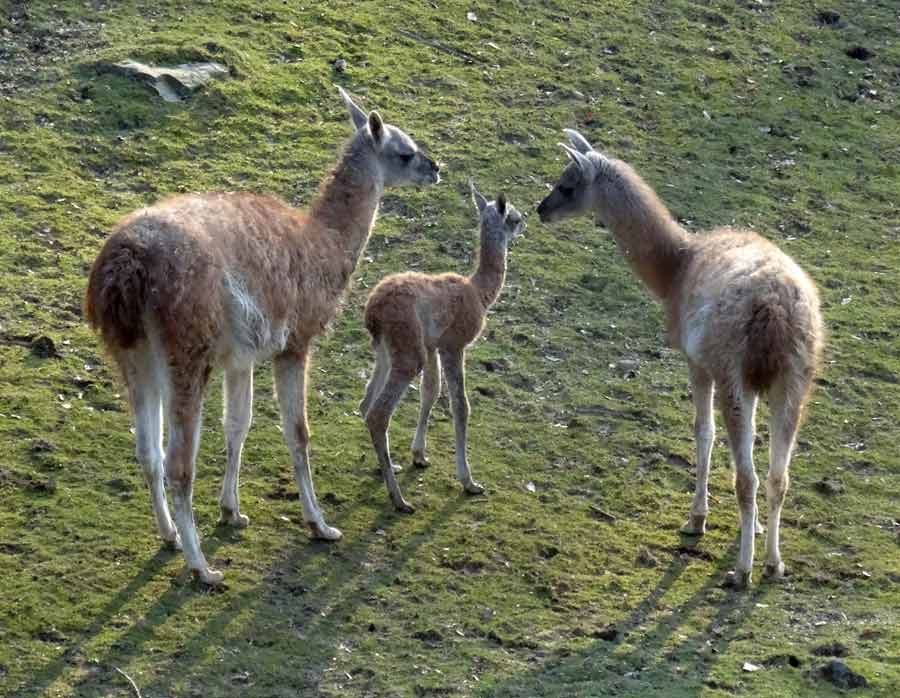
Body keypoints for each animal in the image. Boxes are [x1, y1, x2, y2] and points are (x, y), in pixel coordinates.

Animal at [360, 182, 524, 512]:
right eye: (512, 217)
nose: (524, 221)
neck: (479, 292)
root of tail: (373, 310)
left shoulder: (432, 345)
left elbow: (431, 392)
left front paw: (419, 455)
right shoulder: (453, 345)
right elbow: (460, 405)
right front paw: (469, 481)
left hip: (387, 351)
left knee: (365, 403)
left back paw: (386, 468)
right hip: (407, 353)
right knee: (378, 414)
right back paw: (399, 499)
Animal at [536, 128, 824, 584]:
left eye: (567, 184)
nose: (541, 209)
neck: (676, 265)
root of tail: (776, 310)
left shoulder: (698, 363)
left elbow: (703, 432)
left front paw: (697, 518)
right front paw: (756, 529)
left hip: (734, 373)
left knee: (747, 477)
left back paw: (742, 570)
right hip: (795, 380)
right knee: (778, 477)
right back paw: (774, 563)